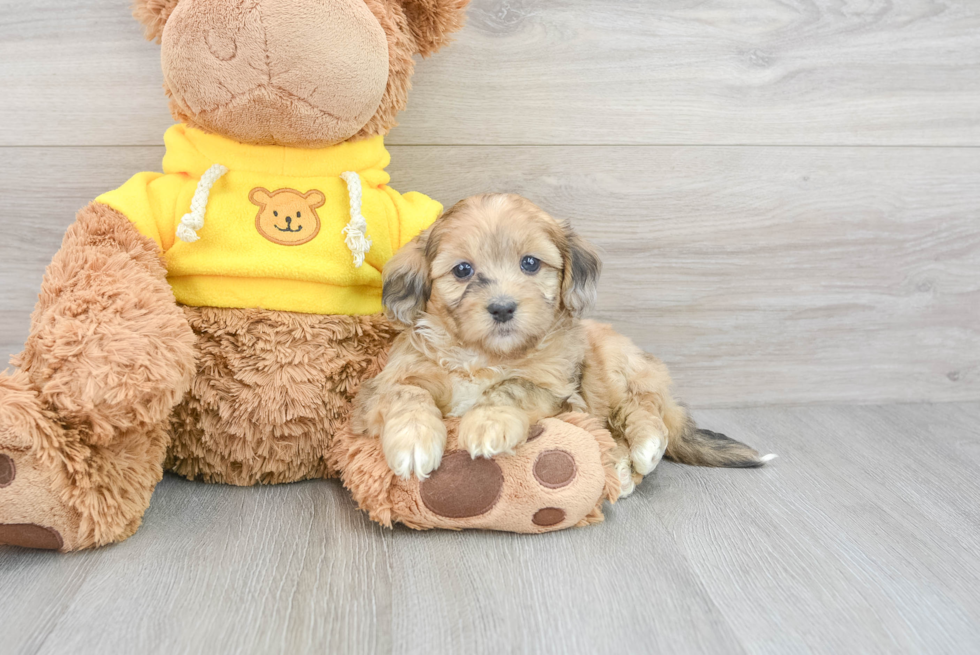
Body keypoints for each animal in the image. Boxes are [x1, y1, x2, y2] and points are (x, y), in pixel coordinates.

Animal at [354, 192, 772, 494]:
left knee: (641, 408)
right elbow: (408, 393)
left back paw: (642, 449)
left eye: (530, 263)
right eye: (462, 270)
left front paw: (488, 421)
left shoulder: (563, 395)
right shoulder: (388, 383)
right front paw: (413, 439)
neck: (485, 355)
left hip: (617, 367)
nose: (502, 308)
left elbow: (514, 386)